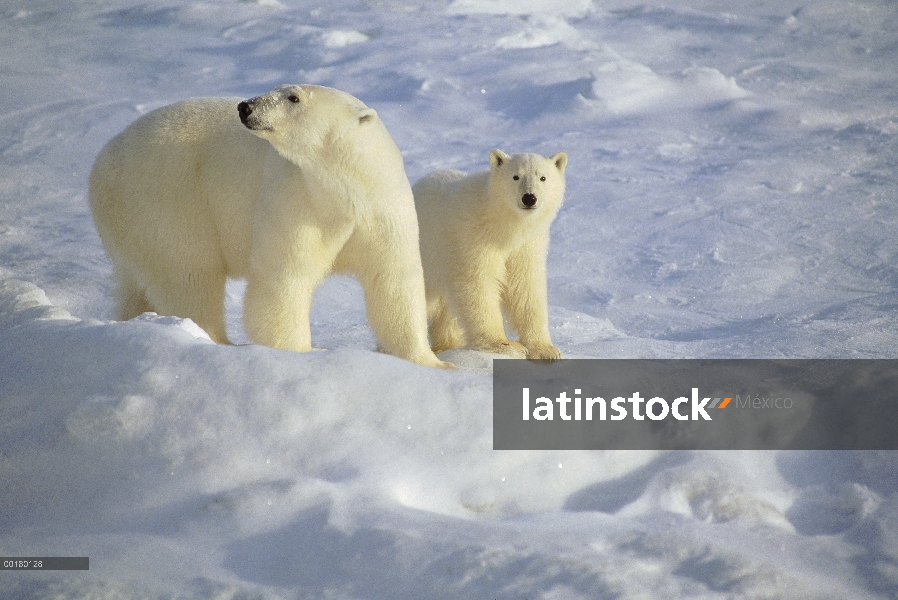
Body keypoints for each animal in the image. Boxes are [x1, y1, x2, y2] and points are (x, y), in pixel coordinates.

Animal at [91, 82, 448, 368]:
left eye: (293, 97)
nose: (245, 106)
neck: (343, 193)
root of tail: (100, 163)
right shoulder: (298, 201)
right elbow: (284, 278)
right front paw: (304, 352)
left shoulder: (382, 209)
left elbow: (394, 281)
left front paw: (434, 363)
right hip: (168, 199)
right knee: (189, 274)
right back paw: (217, 341)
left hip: (136, 221)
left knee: (142, 282)